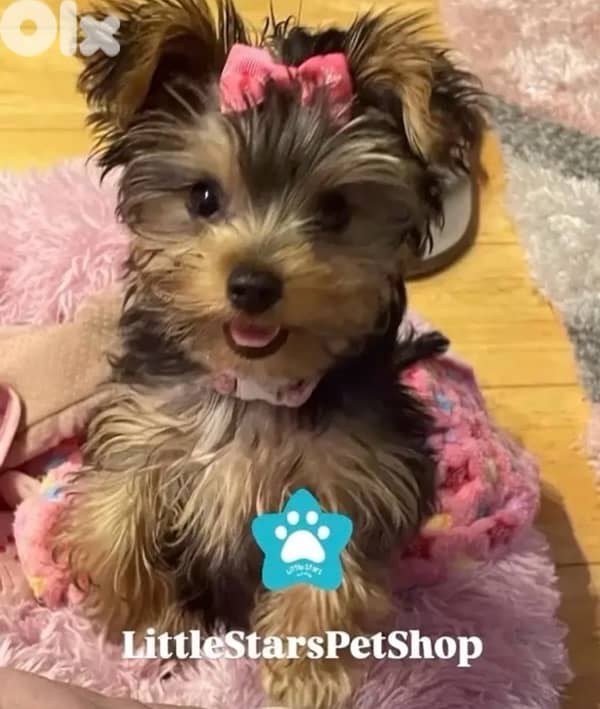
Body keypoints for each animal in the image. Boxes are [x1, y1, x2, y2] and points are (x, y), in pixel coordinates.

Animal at [55, 2, 483, 706]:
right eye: (202, 198)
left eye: (336, 210)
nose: (253, 283)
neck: (256, 386)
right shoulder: (144, 421)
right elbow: (114, 513)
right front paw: (154, 619)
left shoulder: (359, 472)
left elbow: (330, 568)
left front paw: (307, 675)